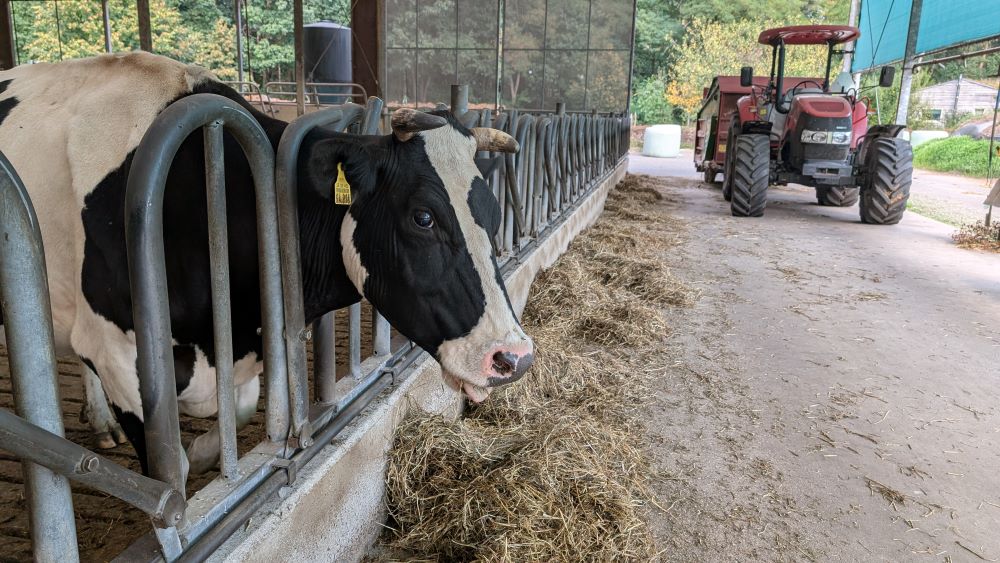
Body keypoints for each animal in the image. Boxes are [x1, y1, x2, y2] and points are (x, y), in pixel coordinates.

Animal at [0, 52, 534, 475]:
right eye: (423, 216)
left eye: (491, 213)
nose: (514, 357)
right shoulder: (116, 352)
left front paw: (209, 449)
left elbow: (238, 413)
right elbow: (172, 466)